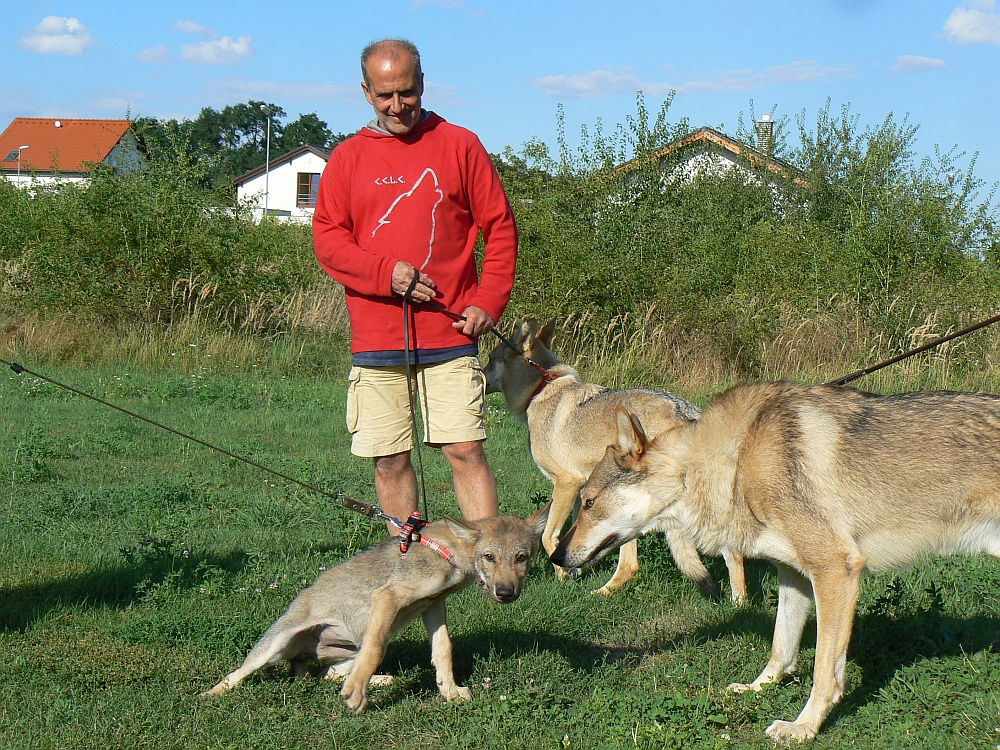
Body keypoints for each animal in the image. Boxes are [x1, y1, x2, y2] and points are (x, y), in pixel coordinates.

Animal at [202, 508, 548, 712]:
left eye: (522, 558)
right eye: (489, 557)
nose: (506, 593)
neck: (449, 554)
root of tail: (299, 659)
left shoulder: (433, 606)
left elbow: (443, 651)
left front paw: (449, 690)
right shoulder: (387, 597)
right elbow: (377, 648)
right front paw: (357, 694)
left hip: (341, 651)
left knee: (326, 674)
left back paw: (379, 680)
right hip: (274, 647)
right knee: (236, 674)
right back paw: (209, 696)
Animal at [484, 320, 744, 604]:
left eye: (489, 360)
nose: (479, 377)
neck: (540, 388)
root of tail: (686, 412)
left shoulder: (566, 483)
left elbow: (548, 538)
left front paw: (563, 577)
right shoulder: (583, 491)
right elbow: (576, 537)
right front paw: (575, 571)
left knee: (631, 564)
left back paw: (602, 593)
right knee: (734, 552)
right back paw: (739, 604)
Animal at [552, 384, 1000, 744]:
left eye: (588, 502)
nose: (555, 555)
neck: (736, 459)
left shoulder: (835, 571)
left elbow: (824, 672)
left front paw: (803, 728)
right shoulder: (795, 577)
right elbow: (781, 648)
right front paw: (758, 689)